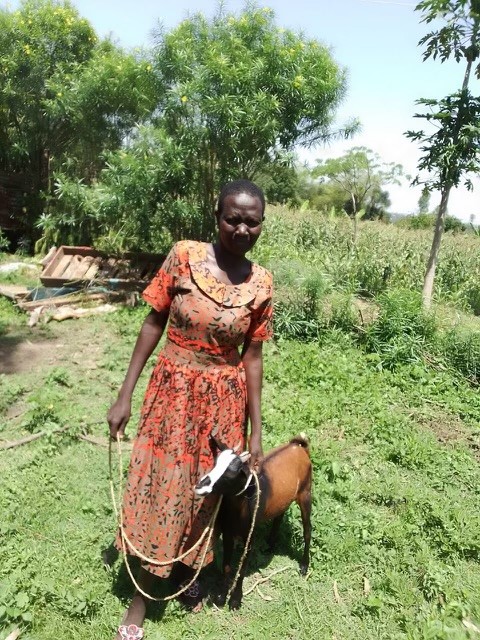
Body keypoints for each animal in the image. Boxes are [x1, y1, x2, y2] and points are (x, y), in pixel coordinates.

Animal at [195, 436, 312, 608]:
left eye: (230, 473)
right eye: (215, 463)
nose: (200, 486)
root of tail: (298, 446)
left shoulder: (249, 536)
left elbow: (242, 567)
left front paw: (235, 600)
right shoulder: (228, 532)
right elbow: (226, 566)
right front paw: (221, 597)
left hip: (305, 492)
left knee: (307, 529)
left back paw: (304, 566)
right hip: (283, 499)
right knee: (279, 516)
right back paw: (270, 546)